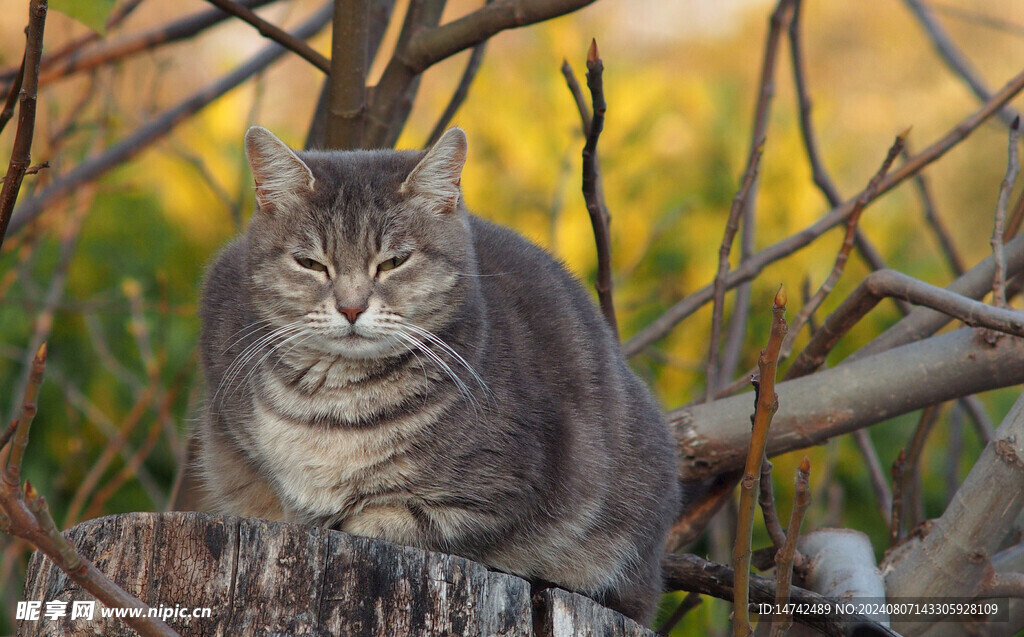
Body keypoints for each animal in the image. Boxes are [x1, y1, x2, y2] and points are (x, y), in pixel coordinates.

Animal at [195, 124, 684, 622]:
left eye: (394, 261)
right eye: (310, 263)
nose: (351, 307)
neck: (336, 405)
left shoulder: (497, 493)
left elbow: (397, 520)